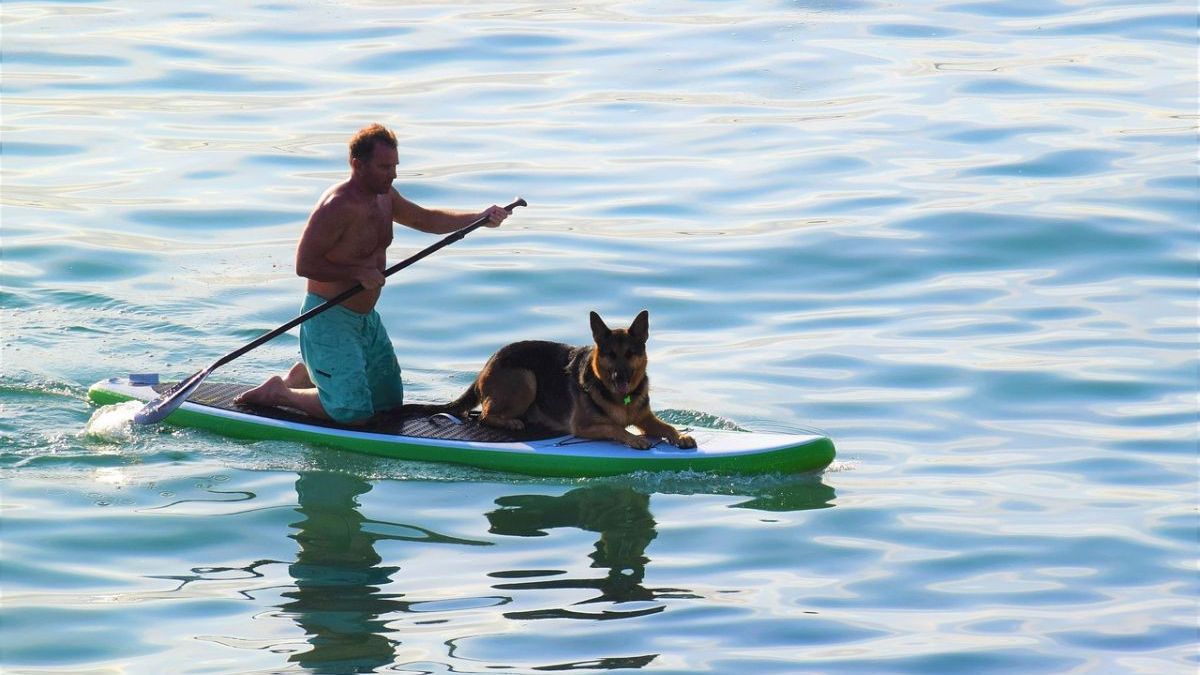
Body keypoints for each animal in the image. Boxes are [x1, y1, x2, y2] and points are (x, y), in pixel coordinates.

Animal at [405, 312, 696, 449]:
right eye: (610, 354)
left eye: (630, 354)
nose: (620, 377)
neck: (618, 396)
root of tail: (486, 364)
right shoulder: (584, 426)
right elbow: (615, 428)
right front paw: (633, 439)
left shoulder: (645, 418)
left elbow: (666, 427)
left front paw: (681, 435)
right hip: (526, 378)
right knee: (484, 416)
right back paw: (511, 421)